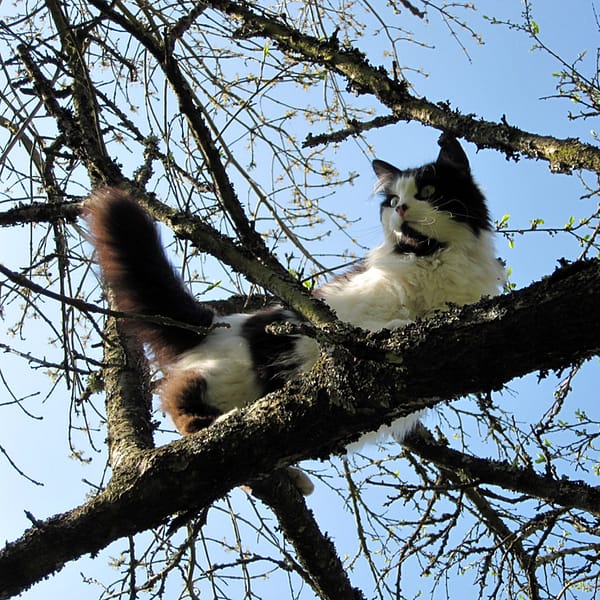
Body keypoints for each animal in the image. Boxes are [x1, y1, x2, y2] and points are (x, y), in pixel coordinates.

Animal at [85, 136, 506, 492]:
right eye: (391, 201)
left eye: (428, 193)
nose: (401, 208)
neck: (428, 256)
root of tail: (216, 325)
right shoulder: (346, 315)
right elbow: (370, 329)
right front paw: (401, 326)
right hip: (230, 377)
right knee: (181, 403)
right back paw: (220, 427)